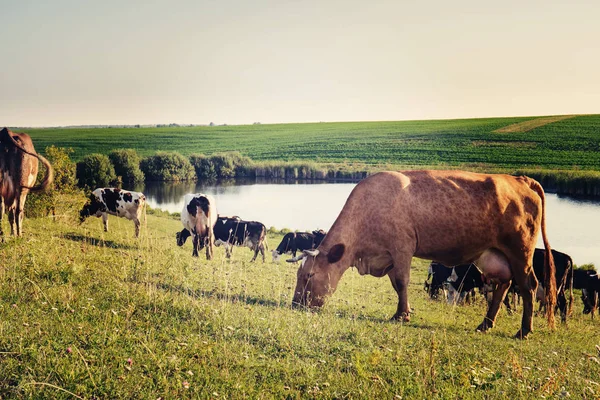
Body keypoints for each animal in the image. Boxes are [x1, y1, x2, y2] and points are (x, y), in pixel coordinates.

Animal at [290, 170, 556, 340]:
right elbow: (396, 285)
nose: (296, 305)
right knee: (503, 284)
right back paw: (485, 324)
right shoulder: (388, 256)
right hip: (494, 255)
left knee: (528, 286)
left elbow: (402, 282)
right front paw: (404, 311)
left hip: (520, 252)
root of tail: (520, 179)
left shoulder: (402, 247)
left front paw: (402, 315)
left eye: (309, 275)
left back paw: (523, 331)